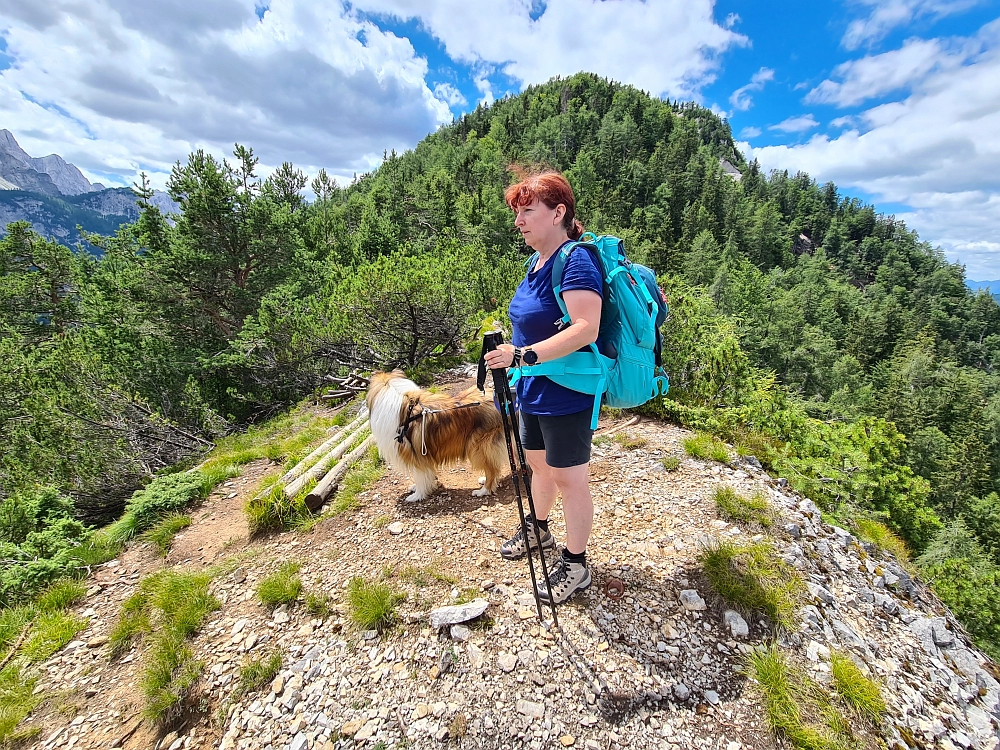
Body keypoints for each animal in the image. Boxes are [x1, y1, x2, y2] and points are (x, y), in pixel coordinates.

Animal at [366, 372, 508, 502]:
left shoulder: (416, 456)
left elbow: (420, 477)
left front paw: (417, 495)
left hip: (478, 448)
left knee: (492, 469)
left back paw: (483, 490)